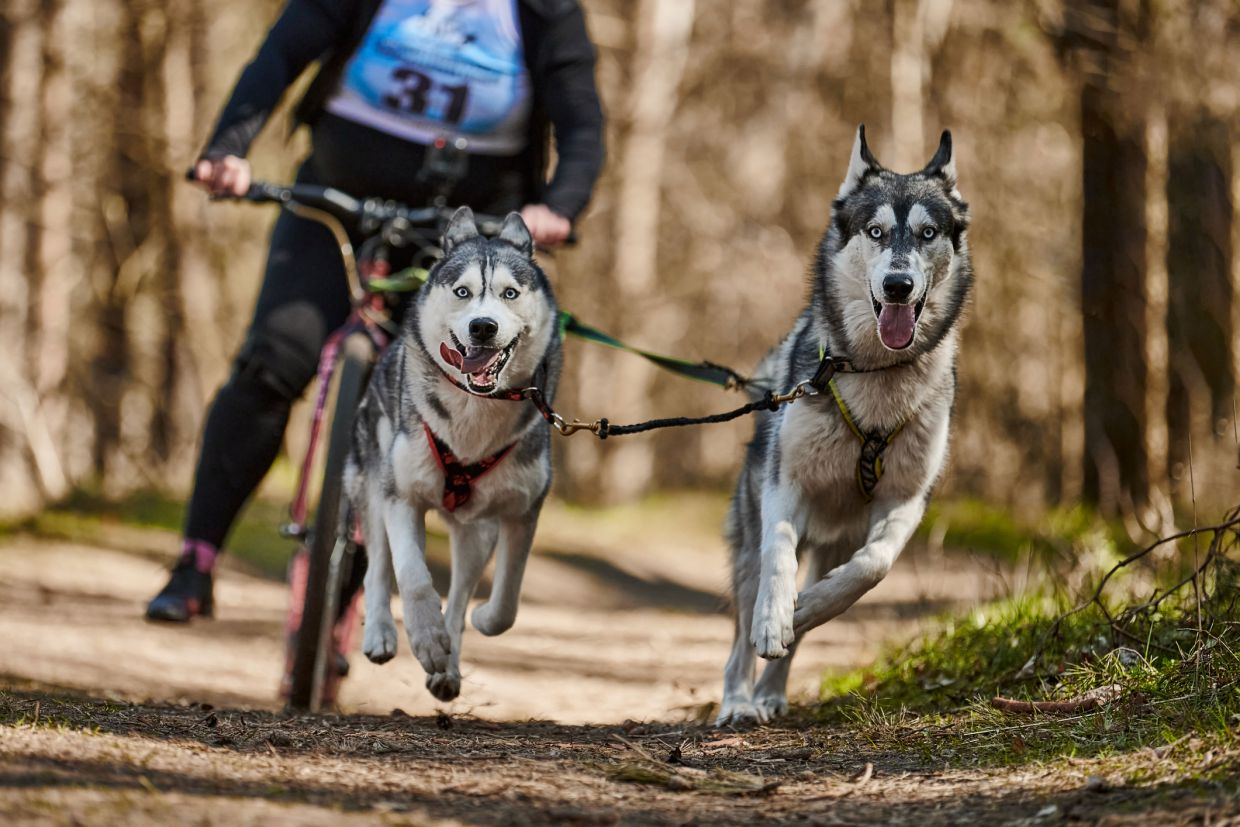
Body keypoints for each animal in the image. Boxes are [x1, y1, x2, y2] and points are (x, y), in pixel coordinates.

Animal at [349, 208, 562, 704]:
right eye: (463, 292)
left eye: (510, 293)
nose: (482, 326)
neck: (474, 414)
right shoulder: (402, 496)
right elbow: (412, 575)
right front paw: (426, 638)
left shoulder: (523, 511)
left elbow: (506, 604)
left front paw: (476, 624)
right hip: (372, 482)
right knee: (378, 565)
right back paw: (382, 633)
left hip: (476, 532)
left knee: (461, 591)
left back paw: (448, 665)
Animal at [719, 126, 967, 729]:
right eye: (875, 231)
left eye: (927, 233)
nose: (898, 285)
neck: (874, 375)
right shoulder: (785, 488)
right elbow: (778, 561)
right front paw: (773, 620)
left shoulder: (906, 499)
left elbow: (873, 568)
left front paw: (806, 610)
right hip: (748, 532)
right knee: (741, 624)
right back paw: (739, 698)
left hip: (836, 541)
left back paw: (771, 690)